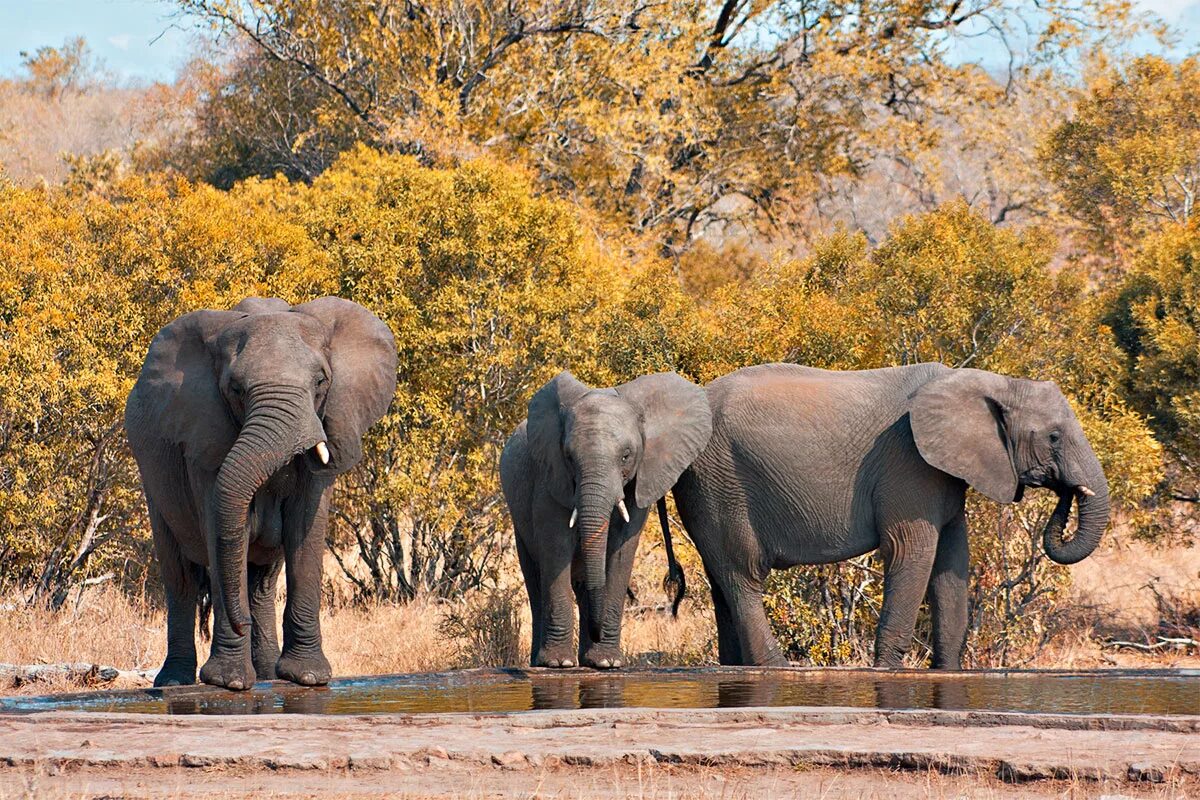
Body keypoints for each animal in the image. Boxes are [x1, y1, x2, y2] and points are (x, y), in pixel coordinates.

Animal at [126, 297, 398, 690]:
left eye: (321, 381)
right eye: (236, 389)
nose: (241, 624)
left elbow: (306, 532)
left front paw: (308, 677)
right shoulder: (204, 438)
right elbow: (223, 533)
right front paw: (230, 682)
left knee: (262, 583)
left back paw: (269, 674)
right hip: (152, 478)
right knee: (181, 577)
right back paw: (174, 683)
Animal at [499, 371, 710, 671]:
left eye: (626, 455)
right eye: (568, 456)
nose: (597, 633)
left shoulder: (640, 479)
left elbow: (621, 551)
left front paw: (607, 662)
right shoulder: (550, 478)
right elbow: (555, 546)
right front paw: (559, 663)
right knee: (535, 578)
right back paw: (541, 662)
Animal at [667, 362, 1104, 671]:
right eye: (1053, 437)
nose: (1067, 493)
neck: (992, 383)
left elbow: (951, 564)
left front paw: (947, 670)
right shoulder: (909, 464)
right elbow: (911, 553)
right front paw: (888, 670)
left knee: (722, 580)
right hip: (720, 483)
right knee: (743, 573)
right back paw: (777, 669)